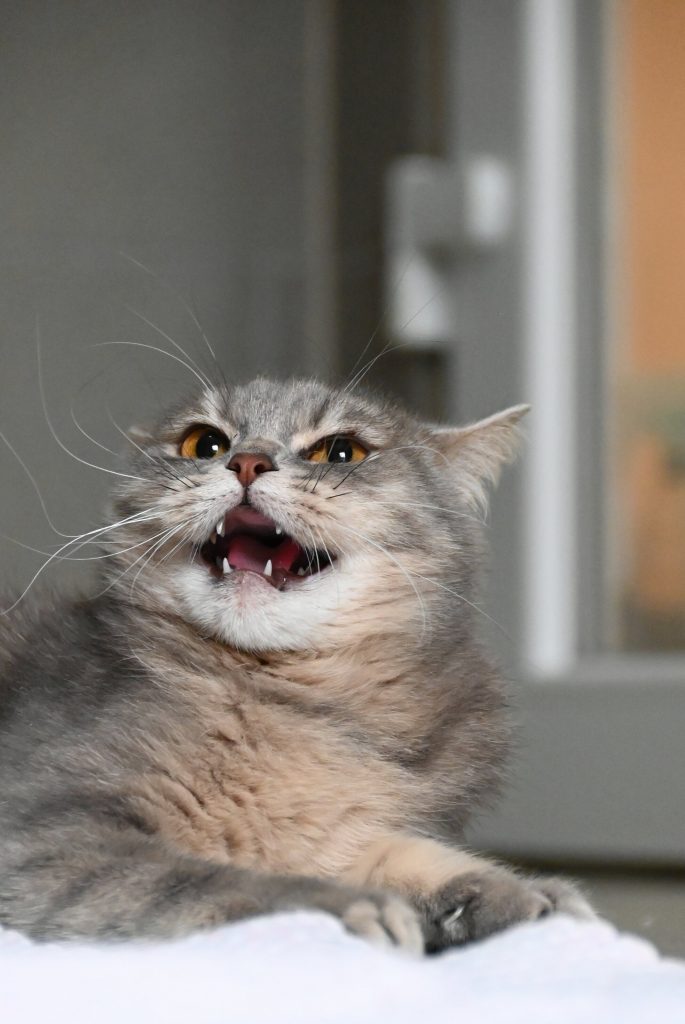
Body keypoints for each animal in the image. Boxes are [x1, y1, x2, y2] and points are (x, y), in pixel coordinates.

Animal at [0, 376, 592, 952]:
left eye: (342, 451)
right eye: (204, 443)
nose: (247, 461)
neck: (291, 707)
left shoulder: (340, 832)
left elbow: (403, 854)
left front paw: (526, 895)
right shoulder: (42, 839)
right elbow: (224, 883)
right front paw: (351, 910)